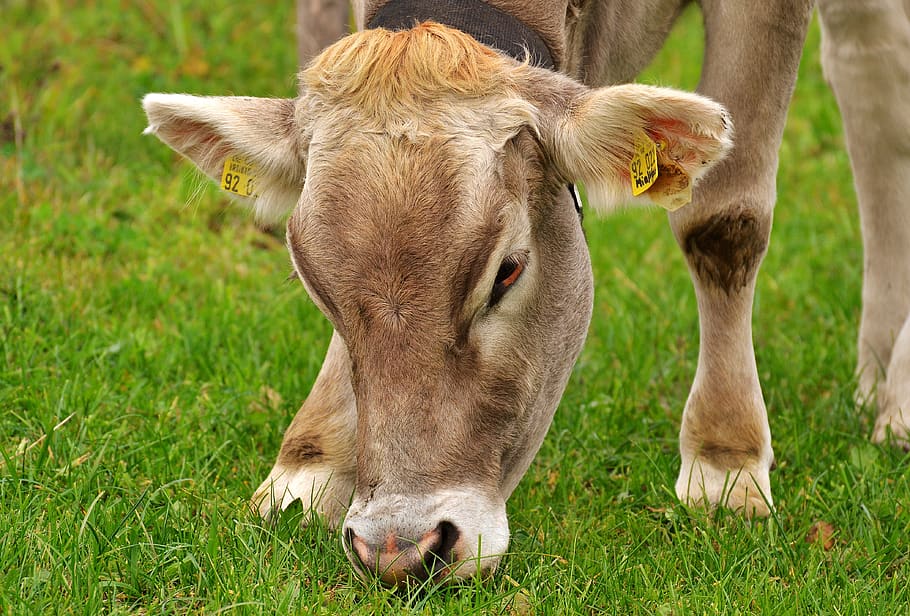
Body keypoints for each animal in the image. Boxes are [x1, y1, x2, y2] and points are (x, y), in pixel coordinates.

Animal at [141, 0, 909, 587]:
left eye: (506, 272)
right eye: (314, 283)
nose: (400, 549)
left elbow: (723, 218)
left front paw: (725, 461)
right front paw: (309, 466)